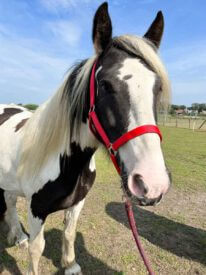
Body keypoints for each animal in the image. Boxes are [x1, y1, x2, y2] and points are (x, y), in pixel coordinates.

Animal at [0, 2, 171, 275]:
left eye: (158, 87)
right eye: (105, 84)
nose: (152, 183)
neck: (66, 163)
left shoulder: (77, 203)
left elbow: (69, 234)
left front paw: (70, 265)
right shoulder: (36, 210)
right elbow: (37, 249)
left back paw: (18, 236)